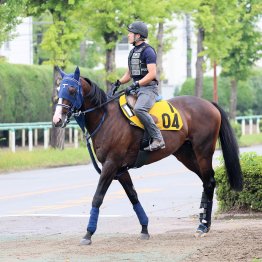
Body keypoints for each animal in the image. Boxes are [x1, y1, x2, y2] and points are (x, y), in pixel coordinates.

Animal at [52, 66, 243, 246]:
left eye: (71, 90)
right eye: (58, 90)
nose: (57, 120)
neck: (106, 118)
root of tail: (209, 103)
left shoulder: (111, 164)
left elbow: (98, 197)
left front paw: (88, 233)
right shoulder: (120, 169)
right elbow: (133, 196)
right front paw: (144, 228)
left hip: (203, 151)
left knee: (209, 181)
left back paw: (202, 225)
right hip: (185, 154)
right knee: (206, 182)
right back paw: (204, 223)